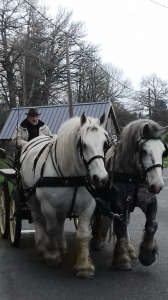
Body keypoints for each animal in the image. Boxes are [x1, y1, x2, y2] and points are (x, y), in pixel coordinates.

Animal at [19, 113, 109, 278]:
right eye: (83, 144)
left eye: (105, 143)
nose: (100, 178)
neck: (72, 176)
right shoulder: (48, 206)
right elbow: (52, 229)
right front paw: (52, 256)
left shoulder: (88, 206)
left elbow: (83, 234)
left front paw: (84, 266)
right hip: (32, 197)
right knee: (38, 219)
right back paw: (42, 246)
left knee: (60, 221)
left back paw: (61, 245)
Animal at [91, 118, 168, 270]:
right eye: (144, 150)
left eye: (163, 151)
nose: (157, 185)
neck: (132, 176)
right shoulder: (117, 204)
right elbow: (120, 228)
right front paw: (121, 259)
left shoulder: (149, 201)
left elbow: (152, 225)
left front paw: (147, 255)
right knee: (99, 215)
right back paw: (96, 240)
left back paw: (129, 248)